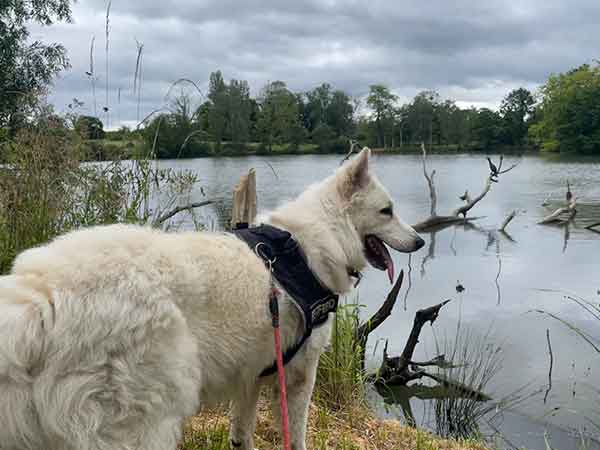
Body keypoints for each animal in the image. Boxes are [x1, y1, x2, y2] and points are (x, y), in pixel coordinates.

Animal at [0, 149, 424, 450]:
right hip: (144, 420)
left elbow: (242, 433)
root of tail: (43, 295)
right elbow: (297, 435)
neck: (314, 242)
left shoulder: (254, 372)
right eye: (387, 211)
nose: (420, 241)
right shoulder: (300, 373)